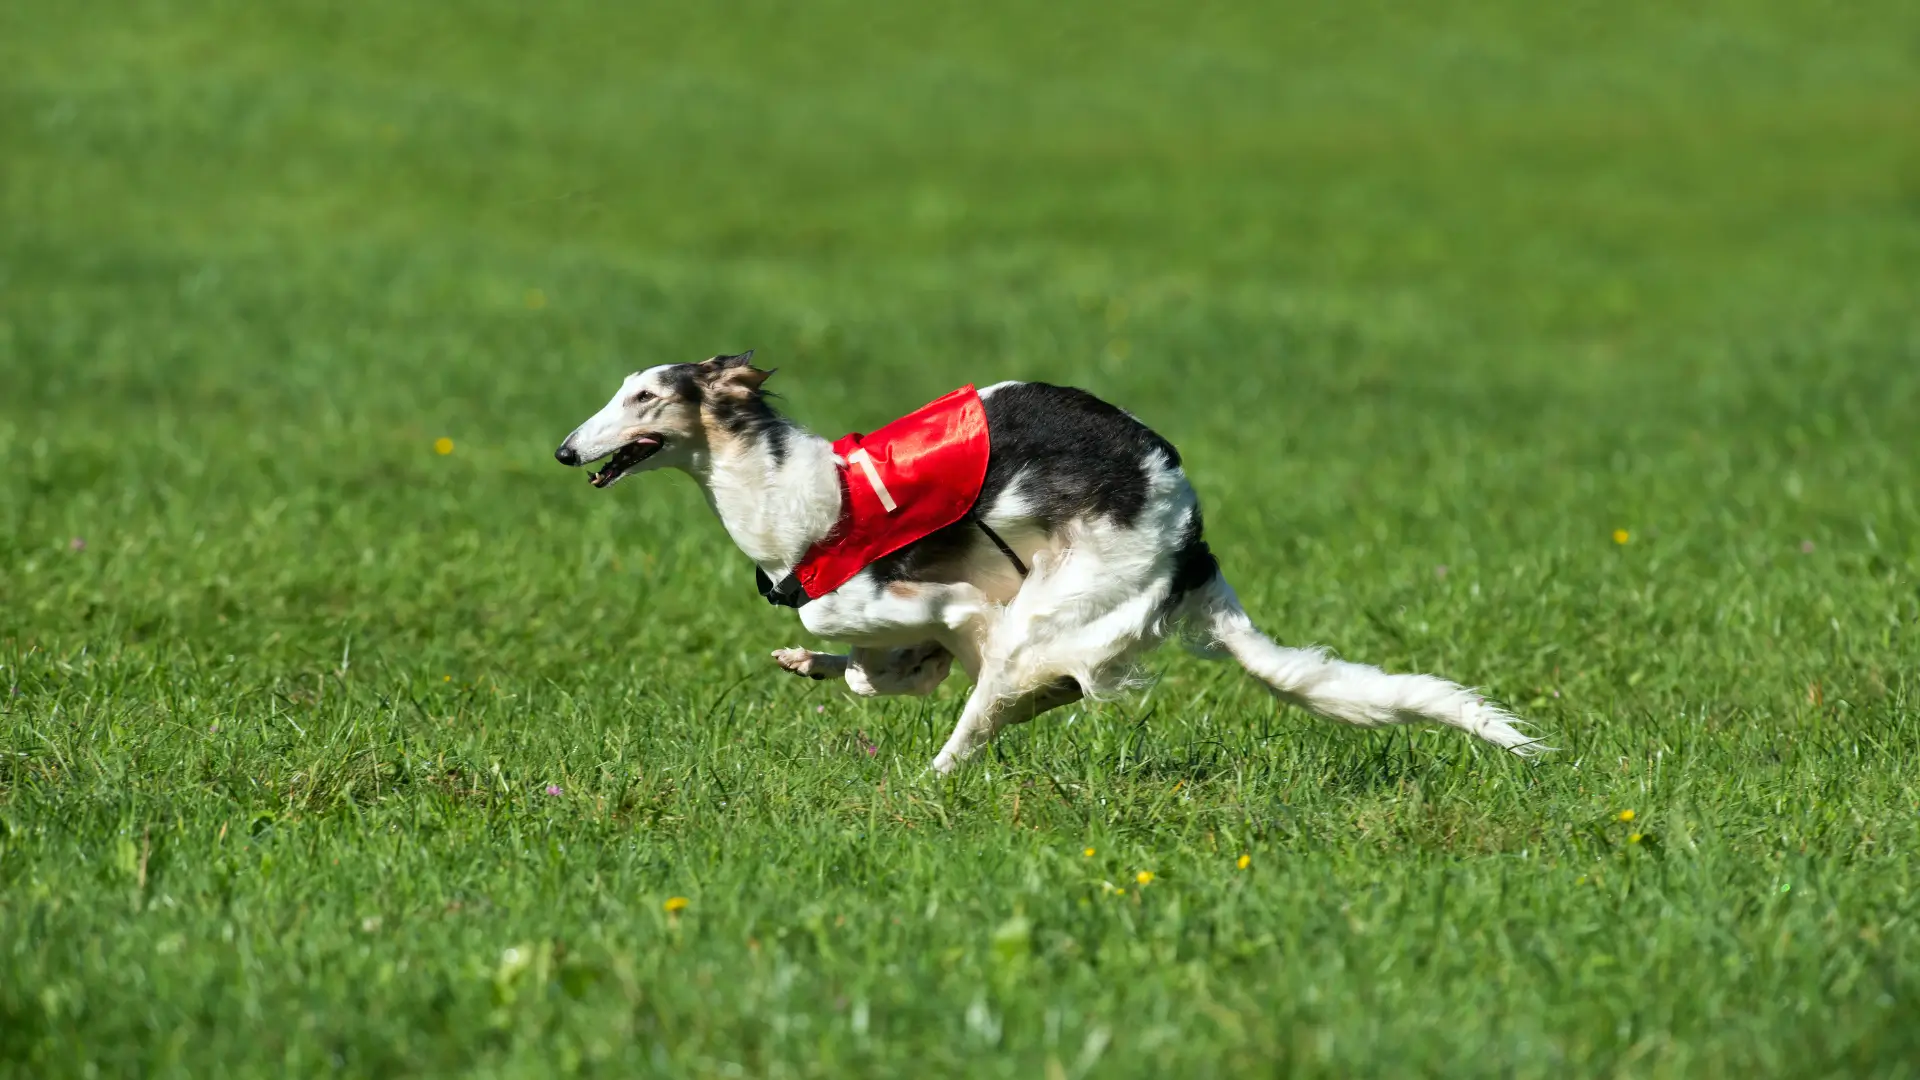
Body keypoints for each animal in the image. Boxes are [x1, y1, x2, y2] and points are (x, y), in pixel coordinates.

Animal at [549, 351, 1536, 764]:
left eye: (643, 397)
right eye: (619, 390)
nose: (564, 449)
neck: (800, 493)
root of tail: (1191, 539)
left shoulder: (915, 592)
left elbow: (904, 621)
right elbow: (877, 670)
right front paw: (816, 663)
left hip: (1069, 596)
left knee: (1008, 697)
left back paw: (929, 783)